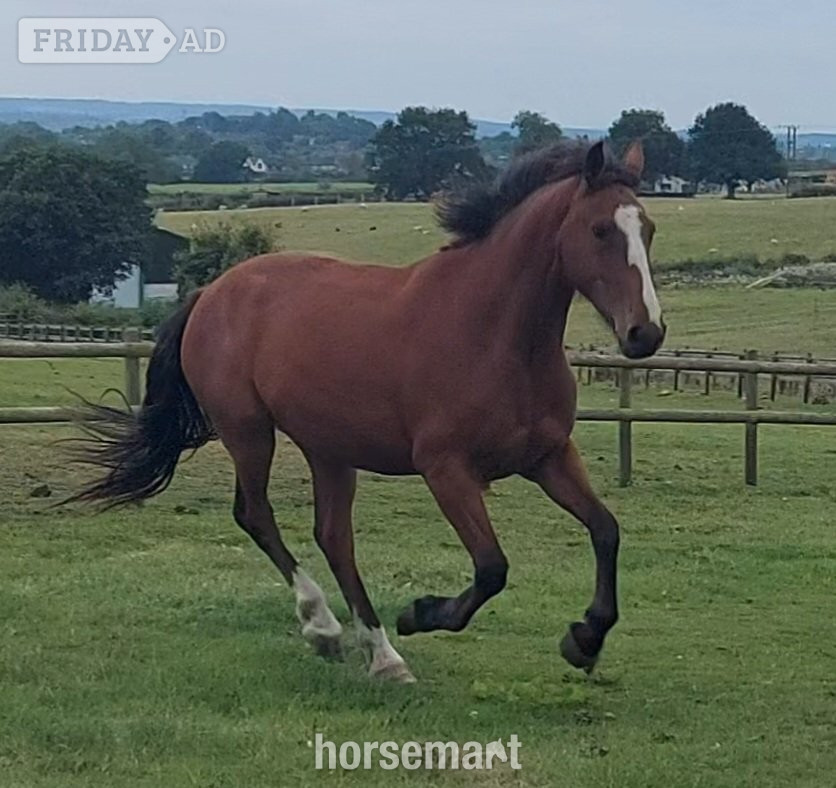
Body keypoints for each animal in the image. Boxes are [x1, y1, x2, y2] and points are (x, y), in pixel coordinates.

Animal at [70, 140, 664, 683]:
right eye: (600, 231)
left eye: (649, 230)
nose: (646, 333)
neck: (497, 336)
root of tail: (212, 292)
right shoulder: (446, 469)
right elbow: (492, 568)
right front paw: (421, 613)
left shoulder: (549, 457)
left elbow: (606, 530)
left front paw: (585, 639)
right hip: (248, 430)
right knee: (256, 515)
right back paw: (326, 628)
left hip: (329, 448)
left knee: (333, 537)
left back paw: (381, 655)